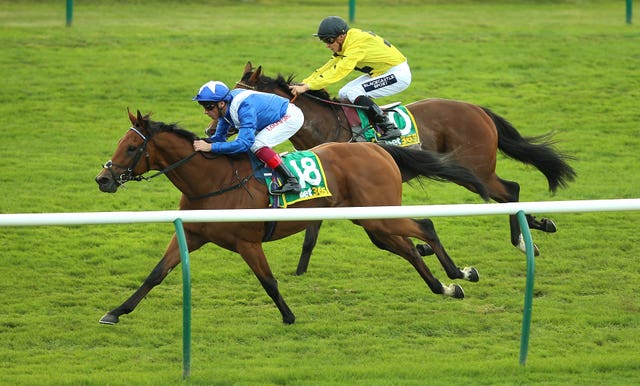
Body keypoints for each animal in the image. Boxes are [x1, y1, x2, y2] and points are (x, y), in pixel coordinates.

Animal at [92, 109, 490, 326]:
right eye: (120, 143)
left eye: (132, 147)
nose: (103, 179)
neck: (213, 182)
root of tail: (377, 149)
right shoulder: (191, 234)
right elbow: (156, 273)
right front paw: (116, 311)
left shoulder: (247, 241)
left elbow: (268, 281)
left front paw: (288, 316)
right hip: (371, 222)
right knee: (408, 248)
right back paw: (444, 287)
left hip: (382, 215)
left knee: (425, 226)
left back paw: (460, 274)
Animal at [238, 62, 576, 274]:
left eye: (243, 96)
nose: (232, 128)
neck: (327, 124)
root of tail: (478, 109)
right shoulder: (326, 190)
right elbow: (311, 234)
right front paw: (299, 272)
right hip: (474, 172)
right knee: (509, 192)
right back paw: (538, 225)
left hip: (477, 170)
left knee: (510, 190)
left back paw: (523, 240)